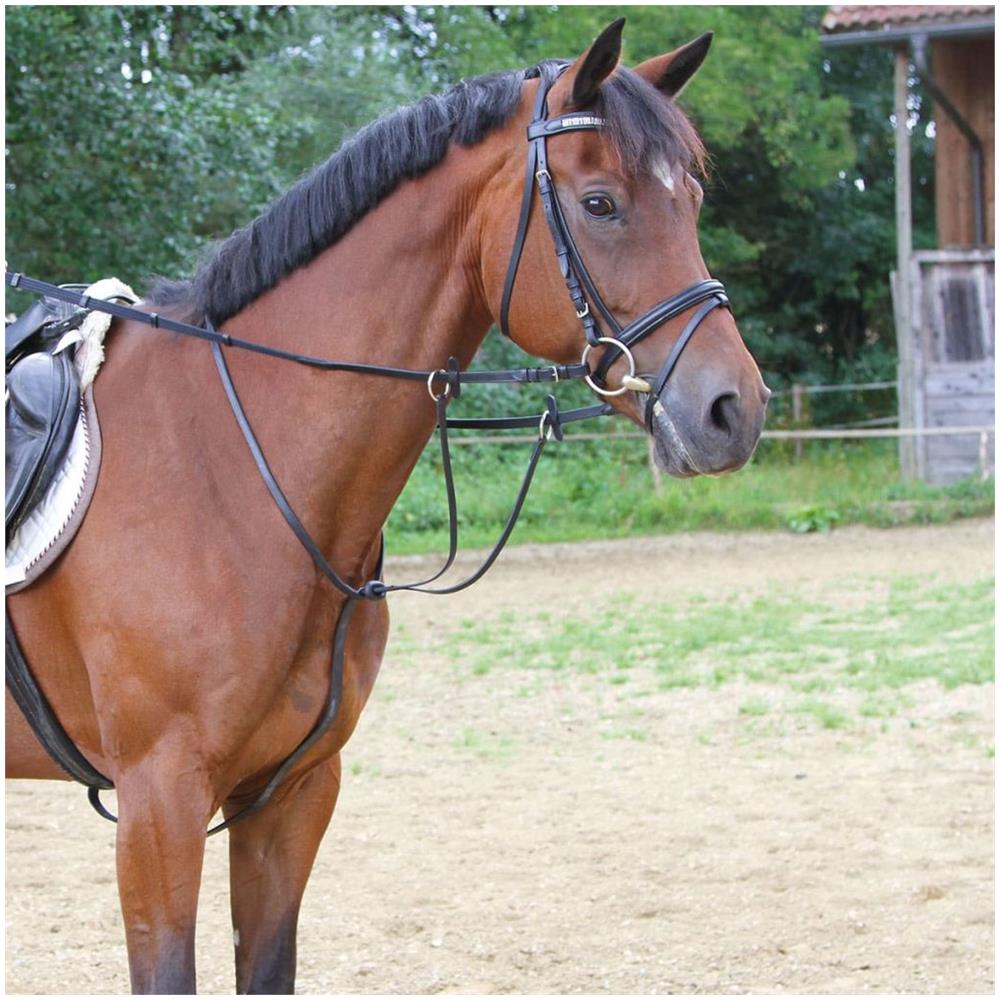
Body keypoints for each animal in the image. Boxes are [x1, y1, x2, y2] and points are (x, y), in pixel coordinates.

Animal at [6, 19, 768, 994]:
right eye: (601, 204)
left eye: (694, 199)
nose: (733, 409)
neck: (226, 464)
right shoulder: (158, 804)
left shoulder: (291, 794)